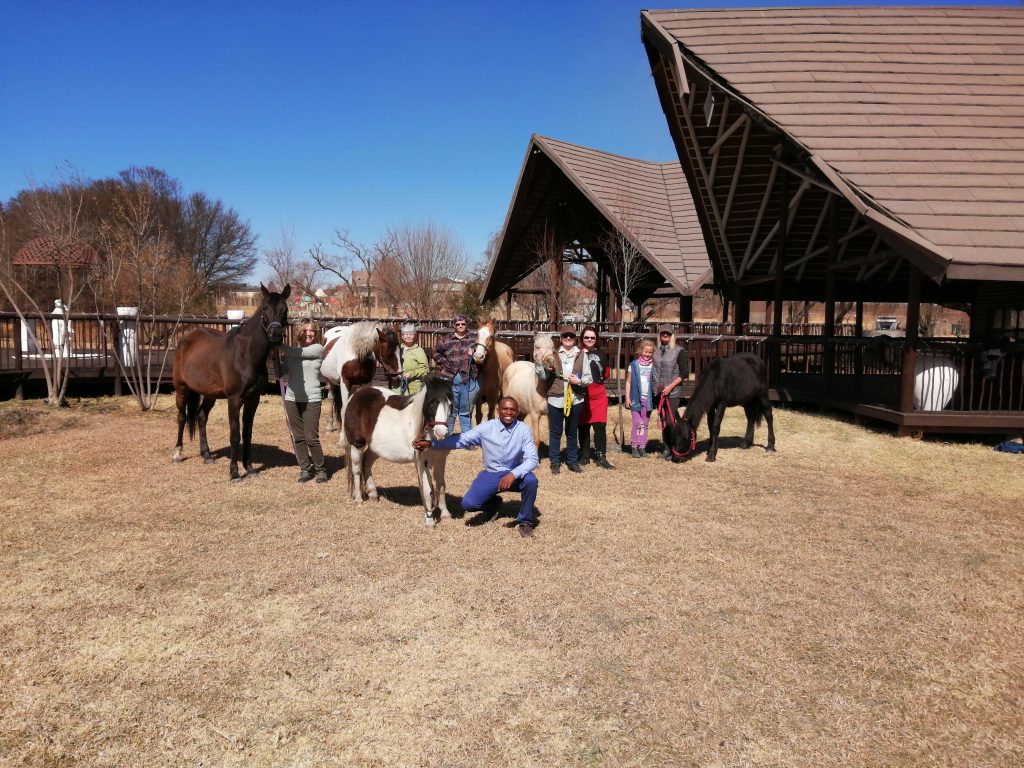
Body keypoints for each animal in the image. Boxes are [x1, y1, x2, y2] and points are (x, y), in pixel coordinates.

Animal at [172, 282, 290, 481]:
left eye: (285, 309)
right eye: (265, 308)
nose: (275, 334)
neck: (245, 354)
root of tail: (186, 338)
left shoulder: (253, 399)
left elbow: (247, 433)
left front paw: (249, 468)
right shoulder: (234, 400)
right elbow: (235, 435)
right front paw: (234, 472)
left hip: (209, 393)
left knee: (201, 417)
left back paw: (207, 455)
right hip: (181, 388)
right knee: (182, 417)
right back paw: (177, 453)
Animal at [344, 374, 452, 528]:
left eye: (450, 404)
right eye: (432, 404)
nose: (441, 433)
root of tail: (357, 393)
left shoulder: (440, 459)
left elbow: (441, 485)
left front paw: (445, 513)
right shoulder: (421, 460)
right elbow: (427, 488)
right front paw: (430, 521)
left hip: (376, 447)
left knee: (366, 463)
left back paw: (373, 494)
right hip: (356, 444)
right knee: (357, 469)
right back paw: (358, 499)